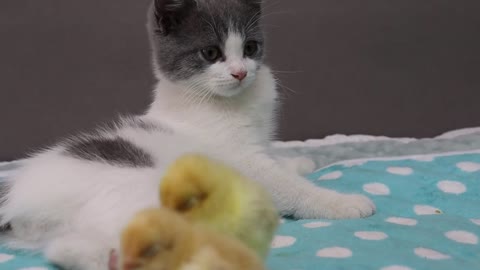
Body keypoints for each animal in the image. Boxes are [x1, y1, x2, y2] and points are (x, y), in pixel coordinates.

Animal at [0, 1, 376, 268]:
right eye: (211, 53)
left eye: (251, 48)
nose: (240, 73)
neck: (222, 103)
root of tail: (17, 198)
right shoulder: (244, 164)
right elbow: (288, 187)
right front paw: (342, 202)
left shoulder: (257, 147)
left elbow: (278, 162)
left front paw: (299, 161)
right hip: (140, 190)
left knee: (64, 247)